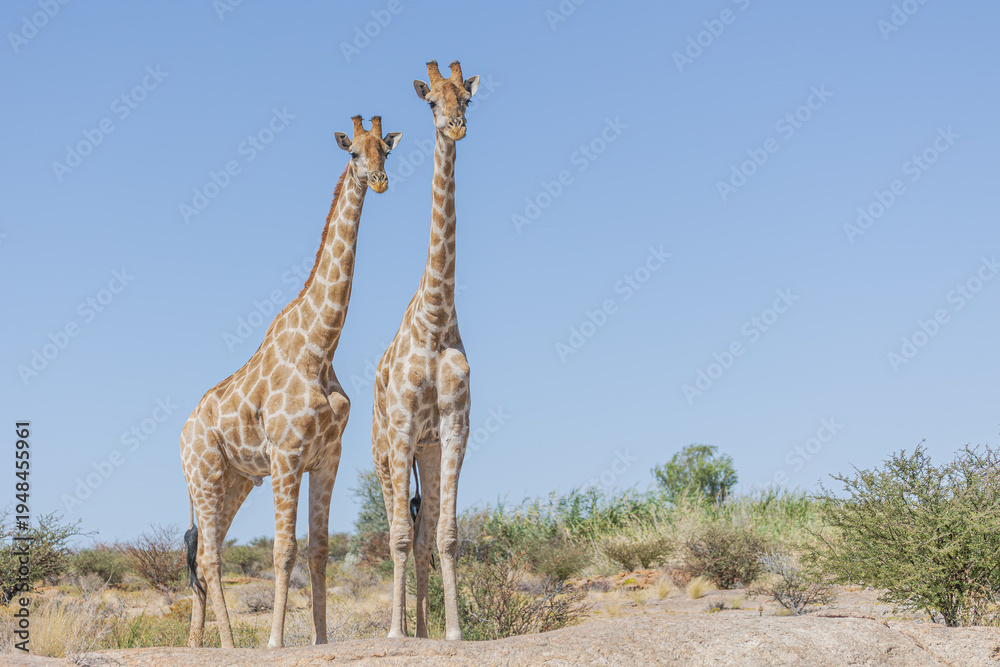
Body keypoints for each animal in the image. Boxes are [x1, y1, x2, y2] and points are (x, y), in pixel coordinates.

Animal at [180, 115, 401, 649]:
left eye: (386, 151)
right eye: (354, 154)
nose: (380, 181)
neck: (320, 348)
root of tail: (182, 432)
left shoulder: (326, 457)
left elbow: (319, 550)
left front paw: (321, 639)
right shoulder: (286, 455)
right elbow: (284, 550)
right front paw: (276, 641)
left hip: (237, 479)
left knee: (207, 554)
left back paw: (198, 644)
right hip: (204, 474)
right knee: (210, 555)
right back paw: (230, 644)